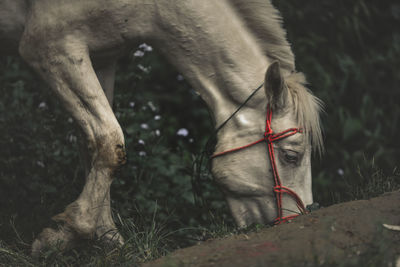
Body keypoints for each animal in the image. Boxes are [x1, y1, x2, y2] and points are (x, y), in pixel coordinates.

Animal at [0, 0, 324, 255]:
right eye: (291, 156)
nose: (295, 221)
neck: (152, 6)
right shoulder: (51, 48)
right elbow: (110, 144)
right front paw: (65, 234)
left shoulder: (100, 60)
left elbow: (92, 146)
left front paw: (106, 238)